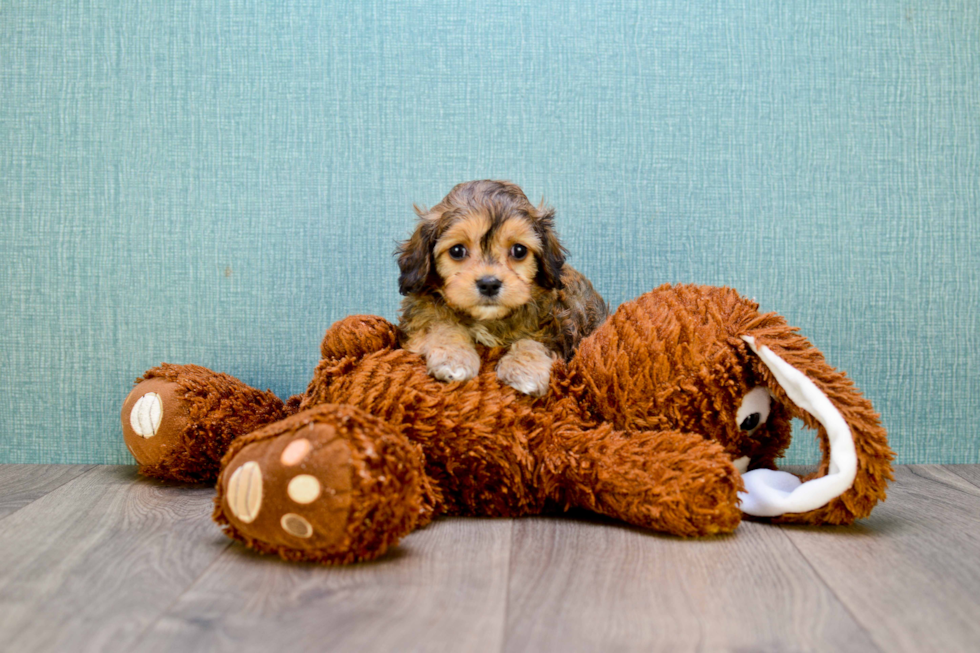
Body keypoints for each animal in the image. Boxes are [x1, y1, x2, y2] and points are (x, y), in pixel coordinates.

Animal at [394, 178, 608, 394]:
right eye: (457, 250)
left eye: (519, 250)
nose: (489, 284)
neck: (489, 320)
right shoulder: (420, 319)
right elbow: (443, 327)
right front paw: (454, 359)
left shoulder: (558, 327)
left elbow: (534, 340)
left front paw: (525, 370)